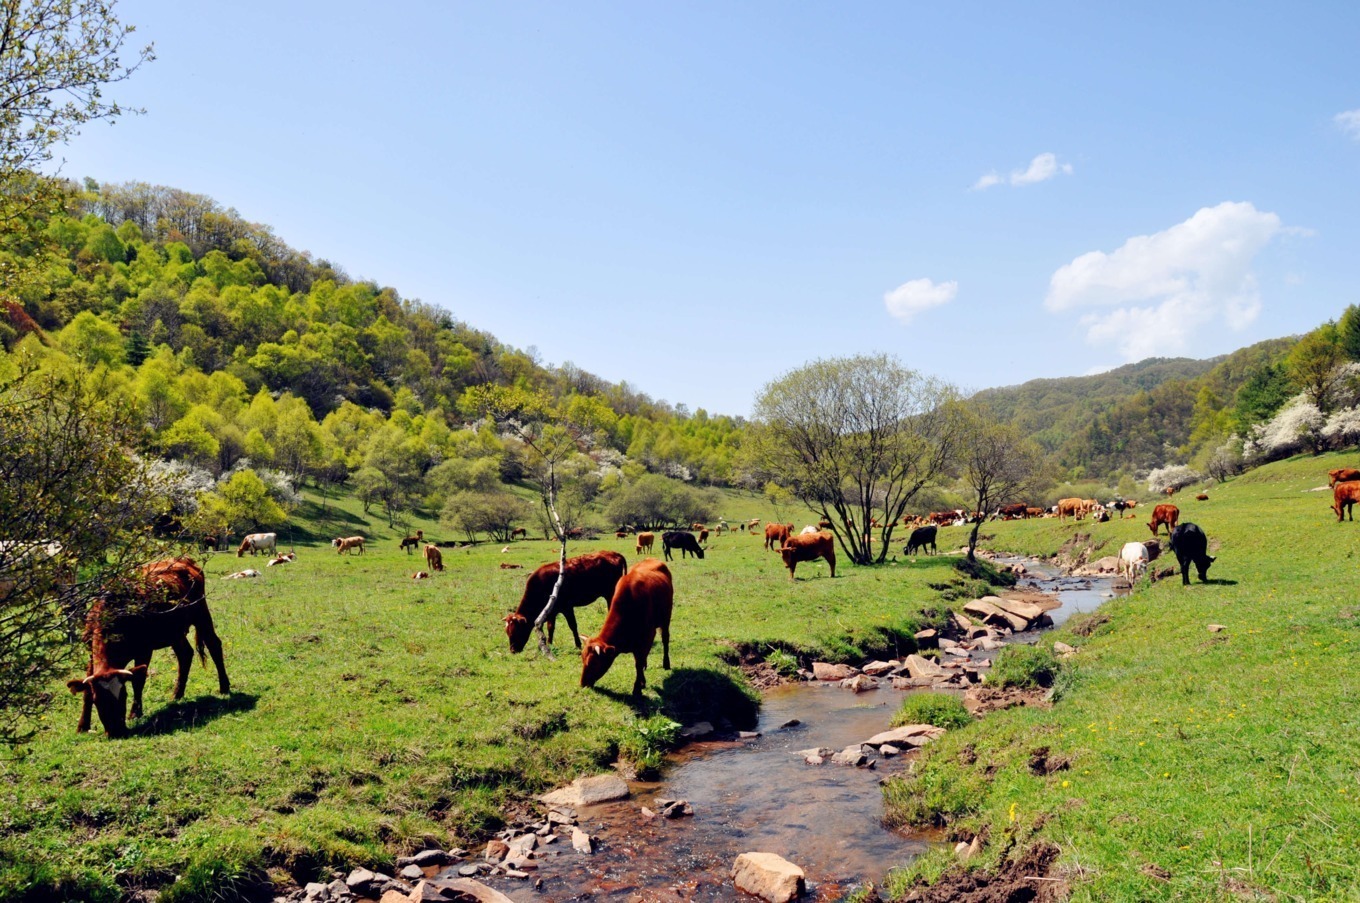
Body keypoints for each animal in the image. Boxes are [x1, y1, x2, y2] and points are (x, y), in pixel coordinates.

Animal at [67, 557, 231, 739]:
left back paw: (224, 687)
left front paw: (135, 713)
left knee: (214, 645)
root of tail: (182, 560)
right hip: (174, 631)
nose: (116, 732)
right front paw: (82, 725)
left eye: (123, 696)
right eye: (98, 701)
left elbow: (138, 681)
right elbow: (86, 691)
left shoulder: (144, 650)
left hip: (201, 614)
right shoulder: (91, 654)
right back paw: (177, 694)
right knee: (185, 654)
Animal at [579, 557, 674, 696]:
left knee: (665, 640)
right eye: (582, 658)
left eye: (593, 663)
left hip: (666, 618)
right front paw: (642, 682)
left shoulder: (647, 637)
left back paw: (666, 663)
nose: (582, 684)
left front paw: (637, 689)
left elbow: (638, 663)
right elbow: (639, 661)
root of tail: (650, 558)